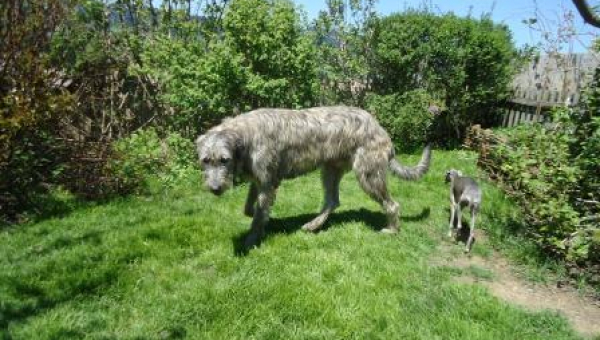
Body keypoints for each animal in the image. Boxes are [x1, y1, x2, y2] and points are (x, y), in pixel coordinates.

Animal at [197, 105, 432, 246]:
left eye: (224, 159)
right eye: (205, 160)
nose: (215, 189)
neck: (247, 135)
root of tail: (380, 128)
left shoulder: (267, 181)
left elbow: (257, 214)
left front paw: (252, 238)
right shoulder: (260, 180)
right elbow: (250, 208)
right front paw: (262, 217)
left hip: (369, 174)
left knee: (392, 204)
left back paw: (392, 229)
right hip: (330, 170)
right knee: (333, 201)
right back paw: (314, 224)